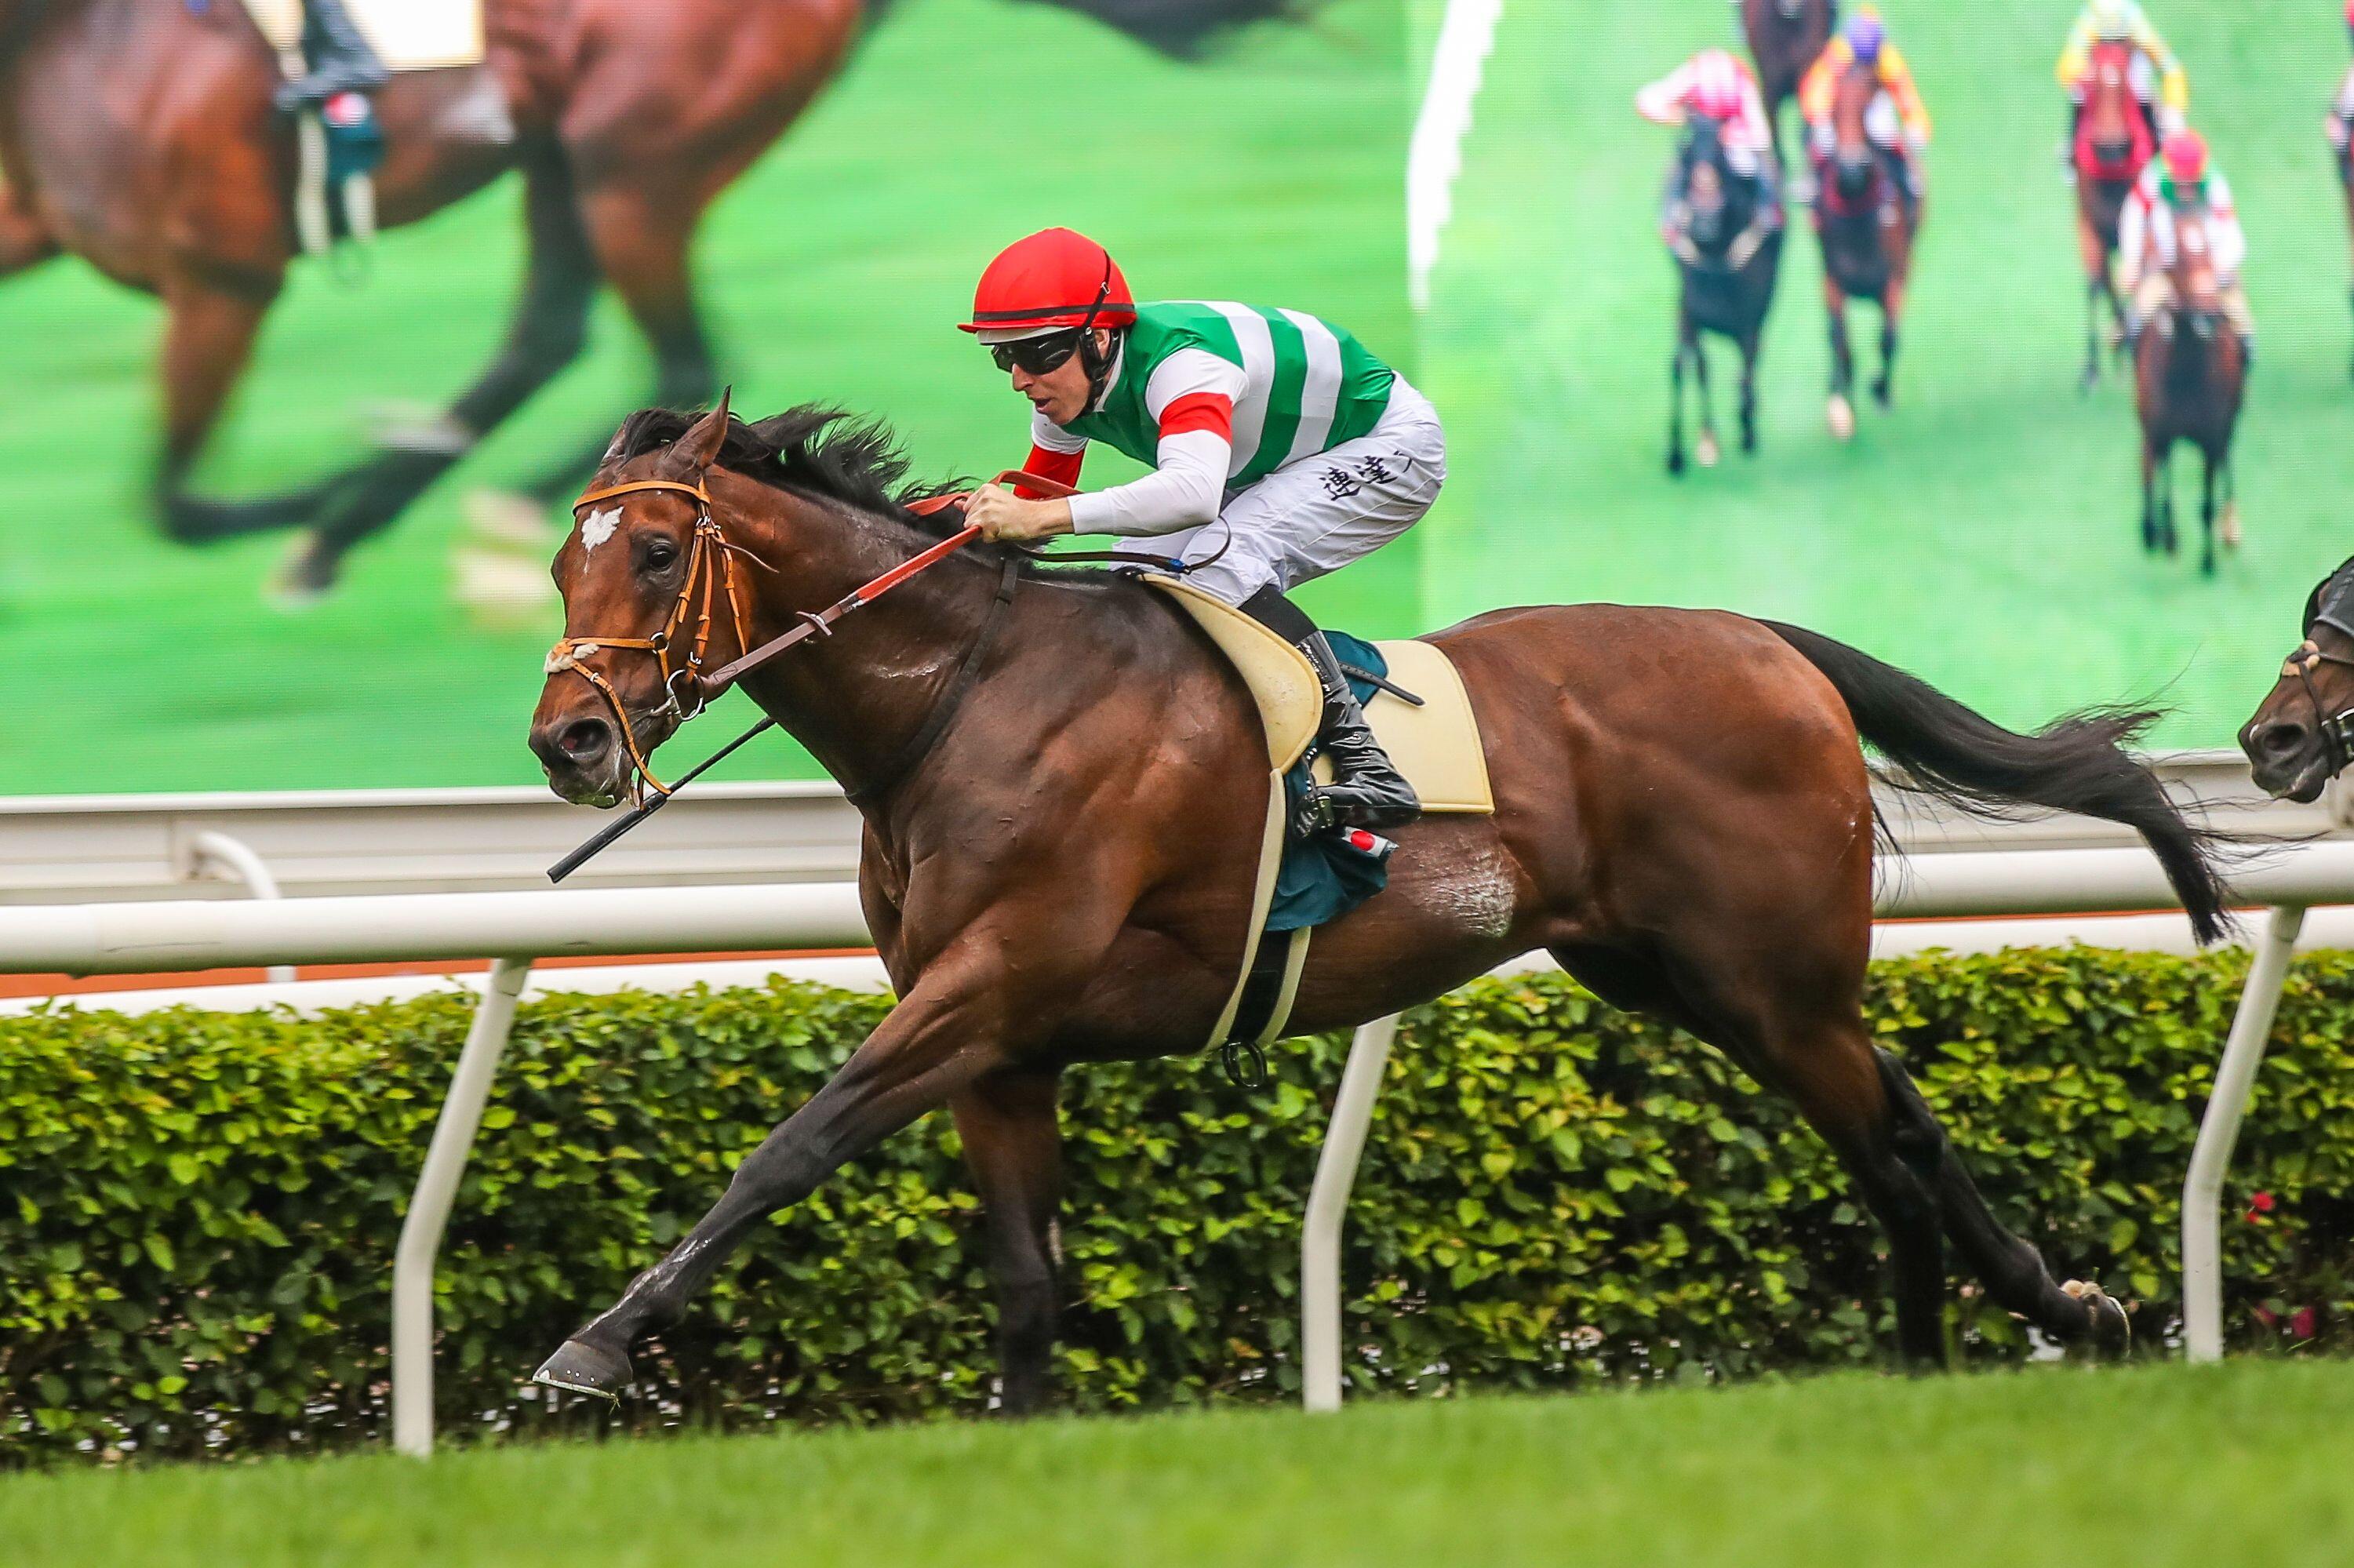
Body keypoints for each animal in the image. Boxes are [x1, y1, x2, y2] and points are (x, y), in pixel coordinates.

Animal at [0, 0, 1257, 599]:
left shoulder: (223, 276)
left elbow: (177, 497)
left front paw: (328, 509)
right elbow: (175, 496)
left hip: (628, 167)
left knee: (655, 355)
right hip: (569, 155)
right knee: (555, 334)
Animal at [521, 395, 2235, 1409]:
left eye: (657, 549)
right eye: (559, 563)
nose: (568, 741)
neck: (964, 696)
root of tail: (1763, 636)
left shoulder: (994, 980)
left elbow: (788, 1145)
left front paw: (592, 1344)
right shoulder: (999, 1042)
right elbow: (1021, 1278)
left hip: (1769, 972)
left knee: (1891, 1136)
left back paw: (2001, 1332)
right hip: (1682, 974)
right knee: (1893, 1128)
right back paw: (1994, 1334)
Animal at [1665, 115, 1784, 475]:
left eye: (1721, 156)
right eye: (1688, 156)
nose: (1703, 222)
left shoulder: (1750, 316)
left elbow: (1745, 371)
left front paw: (1747, 432)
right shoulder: (1688, 309)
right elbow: (1688, 366)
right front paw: (1682, 452)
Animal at [1812, 55, 1921, 442]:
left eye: (1866, 109)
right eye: (1832, 110)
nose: (1850, 169)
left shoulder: (1893, 279)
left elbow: (1889, 337)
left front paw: (1880, 390)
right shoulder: (1833, 281)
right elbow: (1840, 341)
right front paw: (1841, 402)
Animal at [2132, 204, 2245, 577]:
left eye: (2210, 251)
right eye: (2178, 260)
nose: (2210, 314)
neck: (2185, 374)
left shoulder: (2211, 436)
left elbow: (2206, 502)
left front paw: (2208, 562)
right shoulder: (2160, 433)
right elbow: (2162, 486)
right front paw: (2163, 538)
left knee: (2225, 465)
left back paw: (2230, 530)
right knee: (2149, 468)